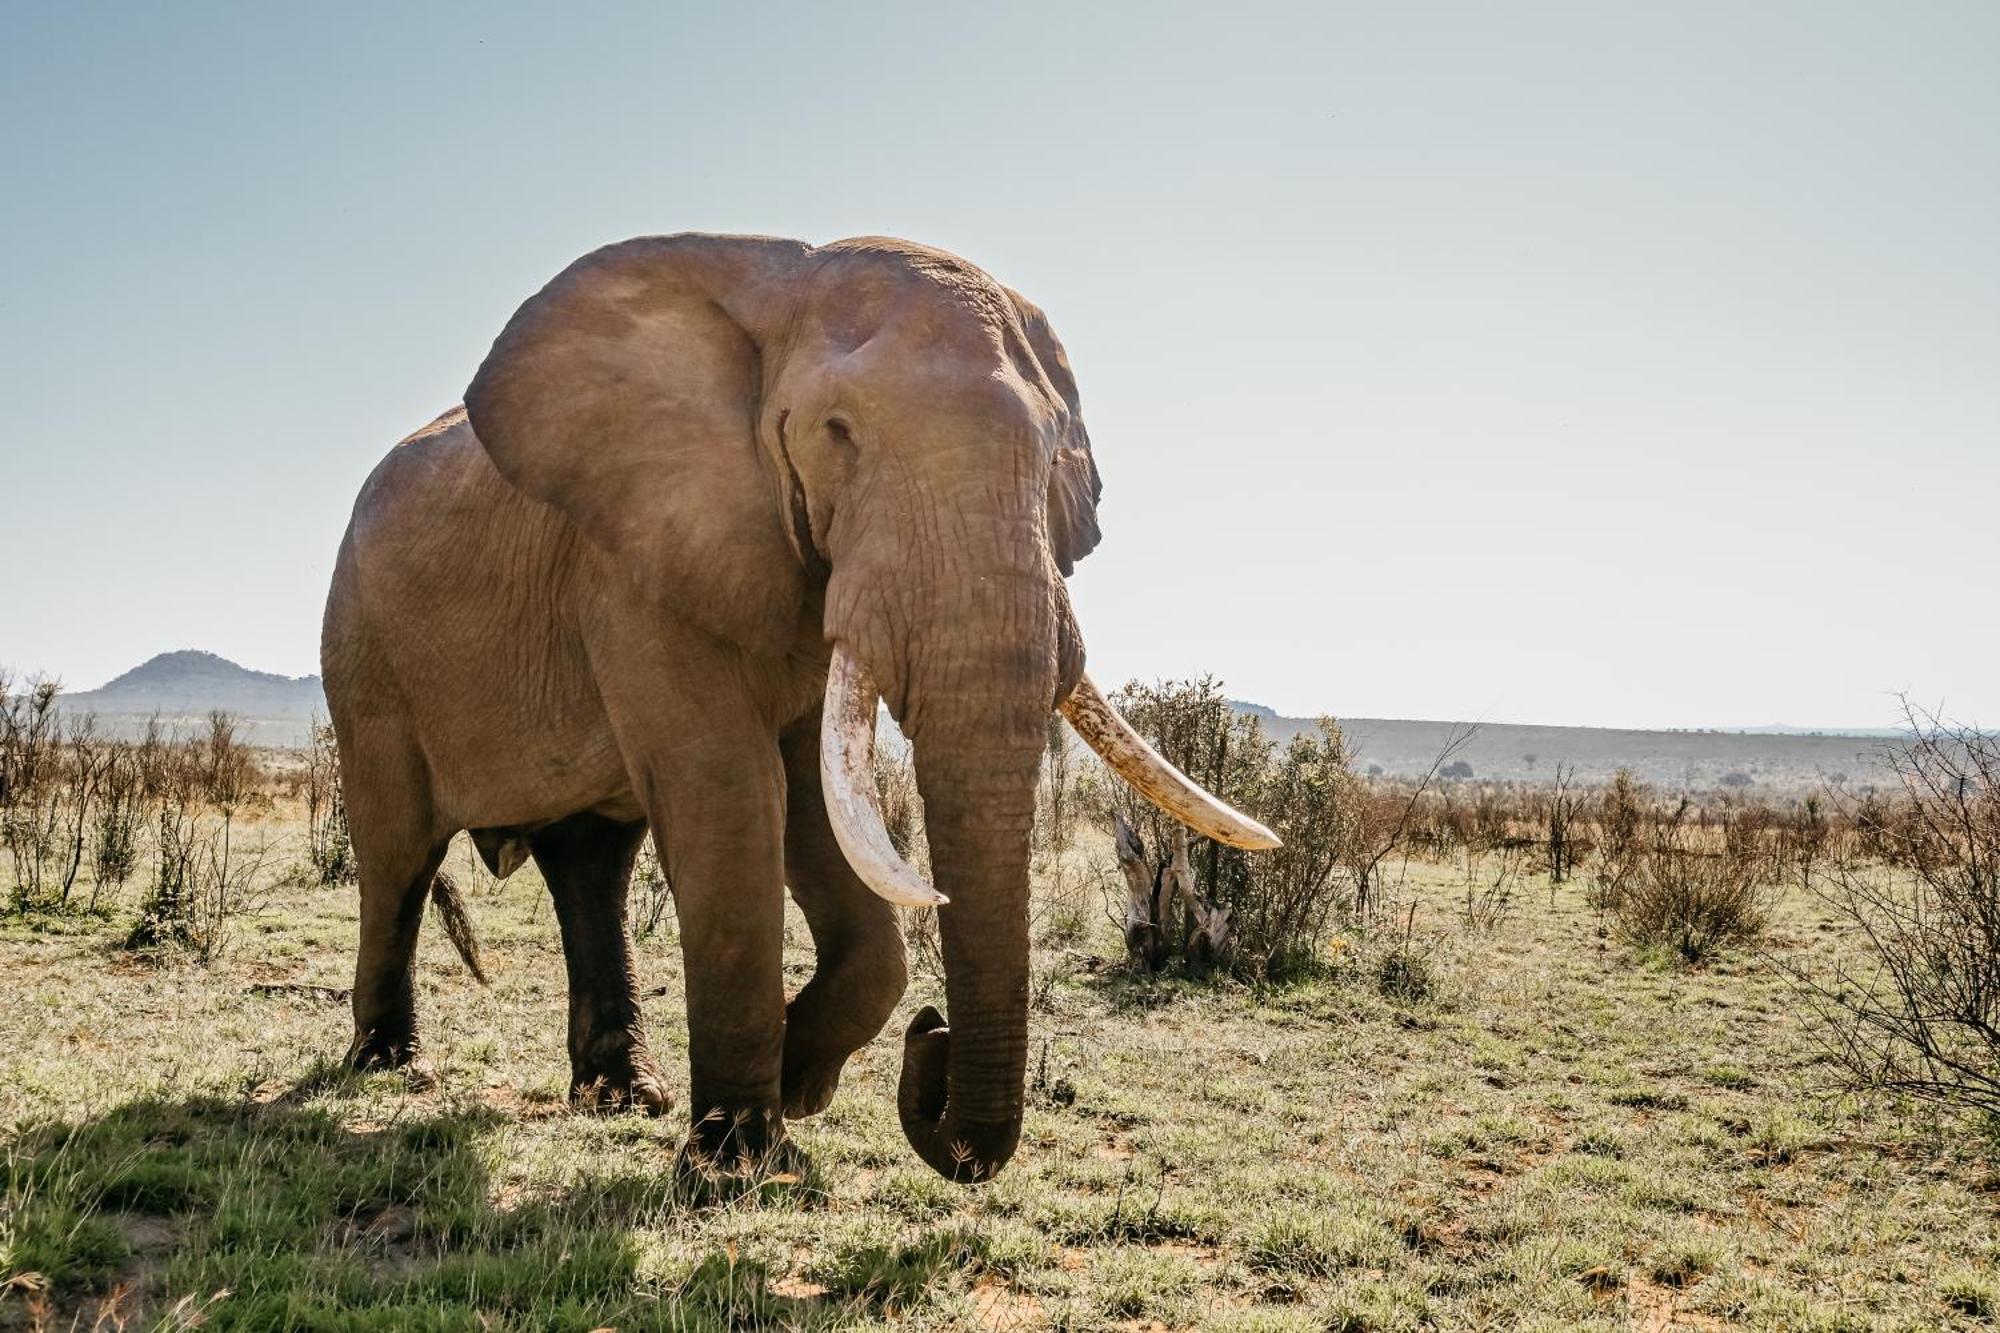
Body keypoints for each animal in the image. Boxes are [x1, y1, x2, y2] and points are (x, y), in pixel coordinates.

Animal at [320, 233, 1272, 1176]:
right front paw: (737, 1161)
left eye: (1055, 458)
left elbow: (815, 804)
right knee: (398, 852)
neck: (786, 279)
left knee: (592, 863)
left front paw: (795, 1083)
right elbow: (737, 793)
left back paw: (626, 1094)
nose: (936, 1038)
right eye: (835, 433)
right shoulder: (639, 555)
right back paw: (393, 1065)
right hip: (362, 652)